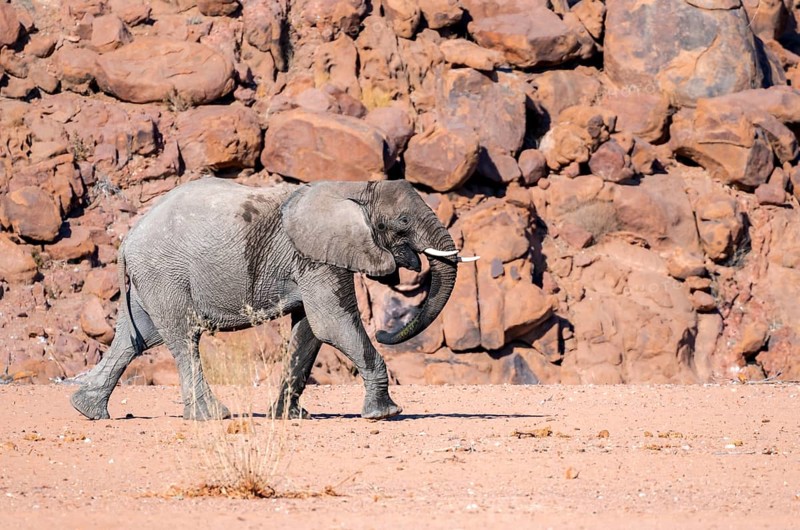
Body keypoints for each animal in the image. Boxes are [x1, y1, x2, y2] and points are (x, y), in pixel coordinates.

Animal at [70, 177, 477, 421]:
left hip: (149, 279)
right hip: (164, 272)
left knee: (136, 338)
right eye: (403, 221)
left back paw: (88, 411)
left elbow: (310, 333)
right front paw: (386, 414)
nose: (385, 330)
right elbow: (333, 324)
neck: (356, 187)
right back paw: (214, 416)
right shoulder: (315, 255)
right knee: (183, 337)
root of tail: (127, 238)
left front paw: (289, 418)